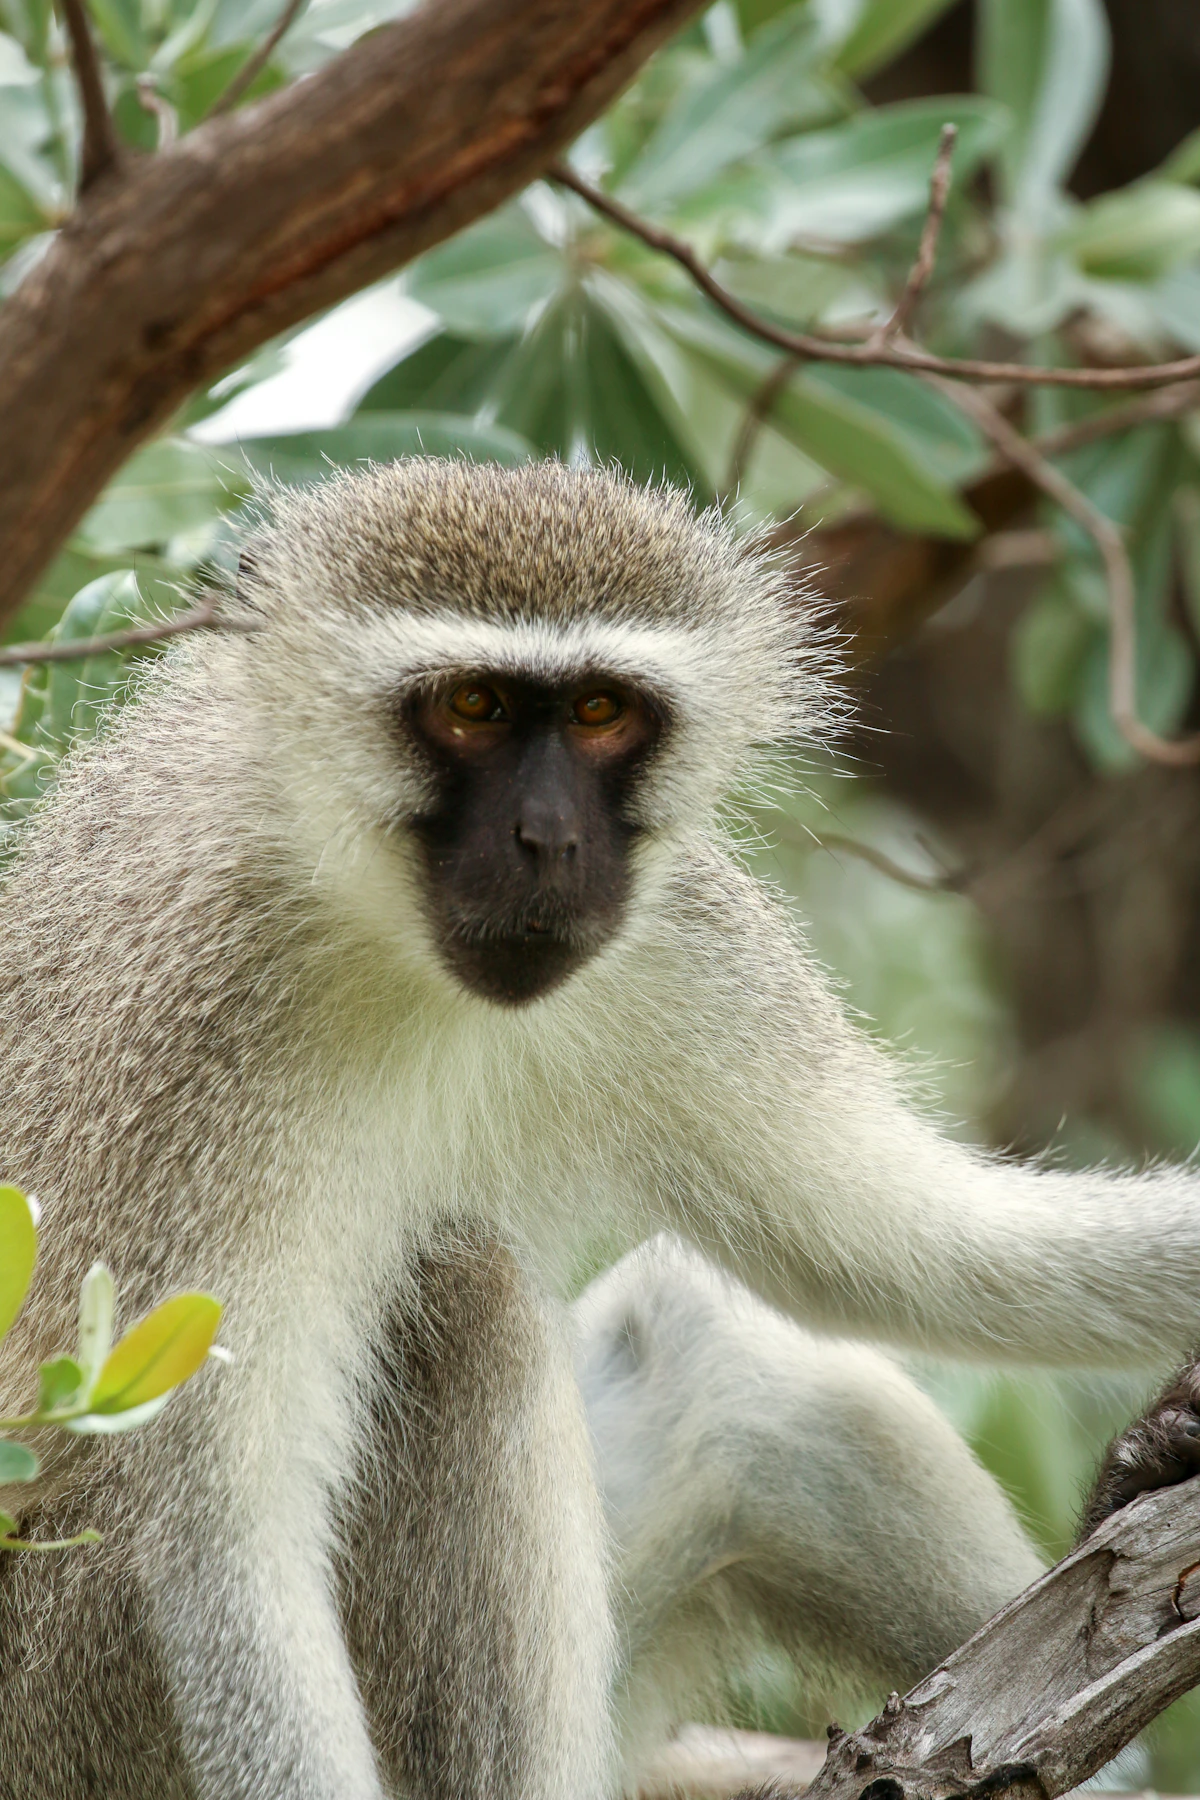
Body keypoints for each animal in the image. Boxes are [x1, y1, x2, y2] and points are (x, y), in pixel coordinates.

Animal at [0, 456, 1196, 1800]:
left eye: (601, 714)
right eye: (472, 706)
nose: (550, 842)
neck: (367, 910)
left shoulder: (689, 936)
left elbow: (904, 1247)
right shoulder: (197, 1030)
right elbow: (222, 1531)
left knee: (719, 1355)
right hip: (76, 1712)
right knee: (463, 1297)